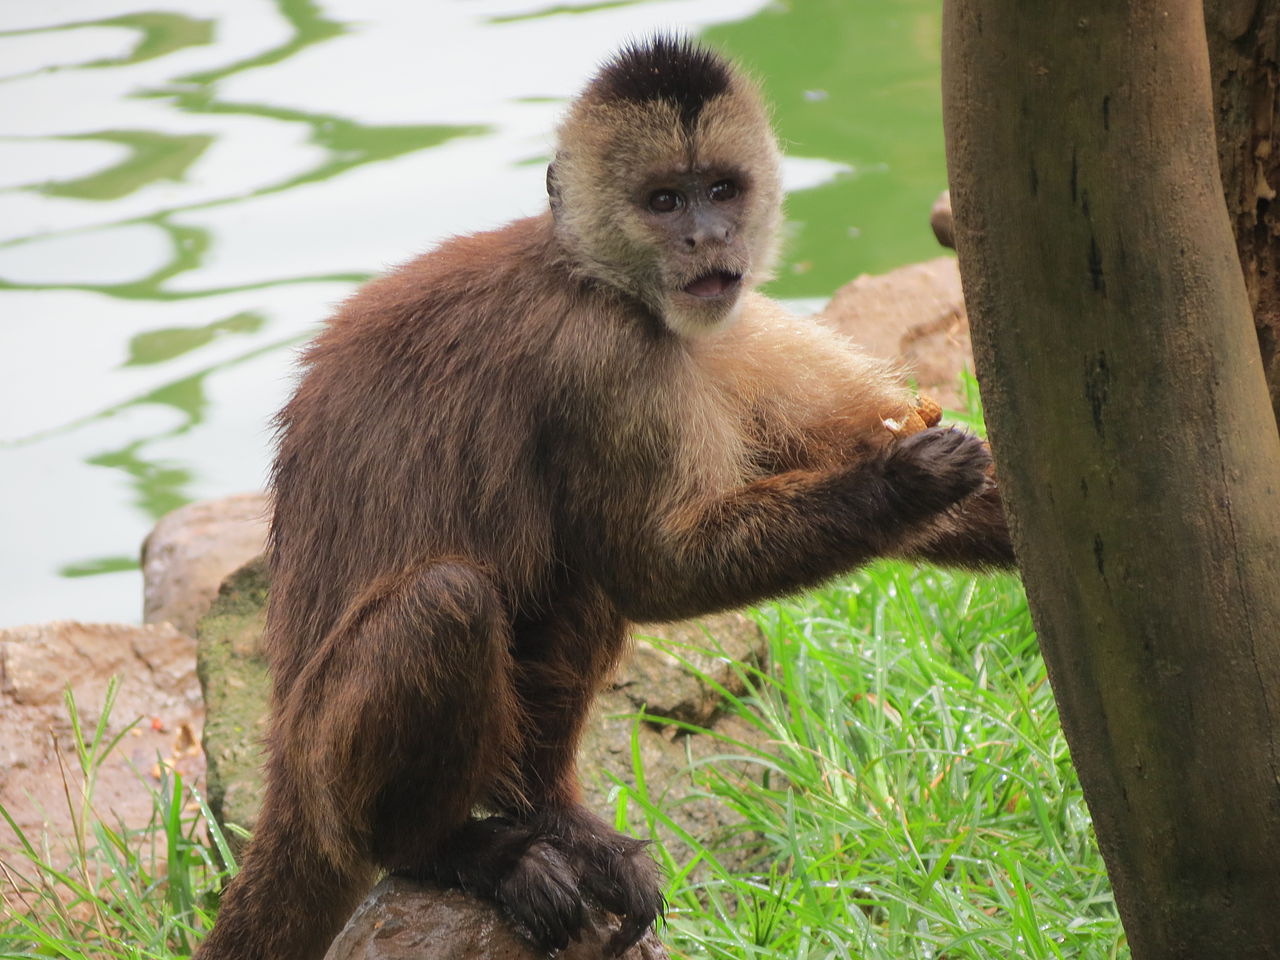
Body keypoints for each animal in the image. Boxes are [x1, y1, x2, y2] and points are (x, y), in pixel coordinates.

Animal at [194, 33, 1013, 960]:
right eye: (663, 201)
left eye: (721, 190)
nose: (705, 236)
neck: (599, 277)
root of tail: (282, 778)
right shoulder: (603, 357)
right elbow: (654, 571)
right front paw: (902, 481)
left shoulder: (736, 325)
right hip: (328, 775)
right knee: (452, 599)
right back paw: (450, 848)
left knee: (566, 578)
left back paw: (548, 812)